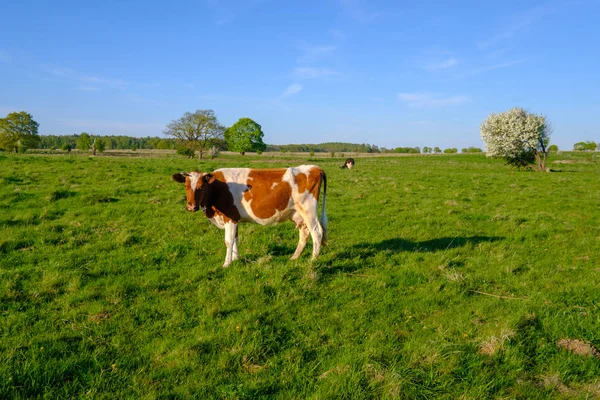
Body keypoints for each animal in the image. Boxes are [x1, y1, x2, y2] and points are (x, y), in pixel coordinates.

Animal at [172, 164, 328, 268]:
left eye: (201, 187)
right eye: (186, 186)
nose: (191, 206)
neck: (217, 188)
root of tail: (314, 168)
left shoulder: (230, 217)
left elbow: (228, 241)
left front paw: (226, 263)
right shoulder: (235, 218)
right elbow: (235, 239)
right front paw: (235, 259)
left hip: (309, 210)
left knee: (317, 232)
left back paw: (313, 259)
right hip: (299, 214)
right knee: (305, 233)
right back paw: (294, 257)